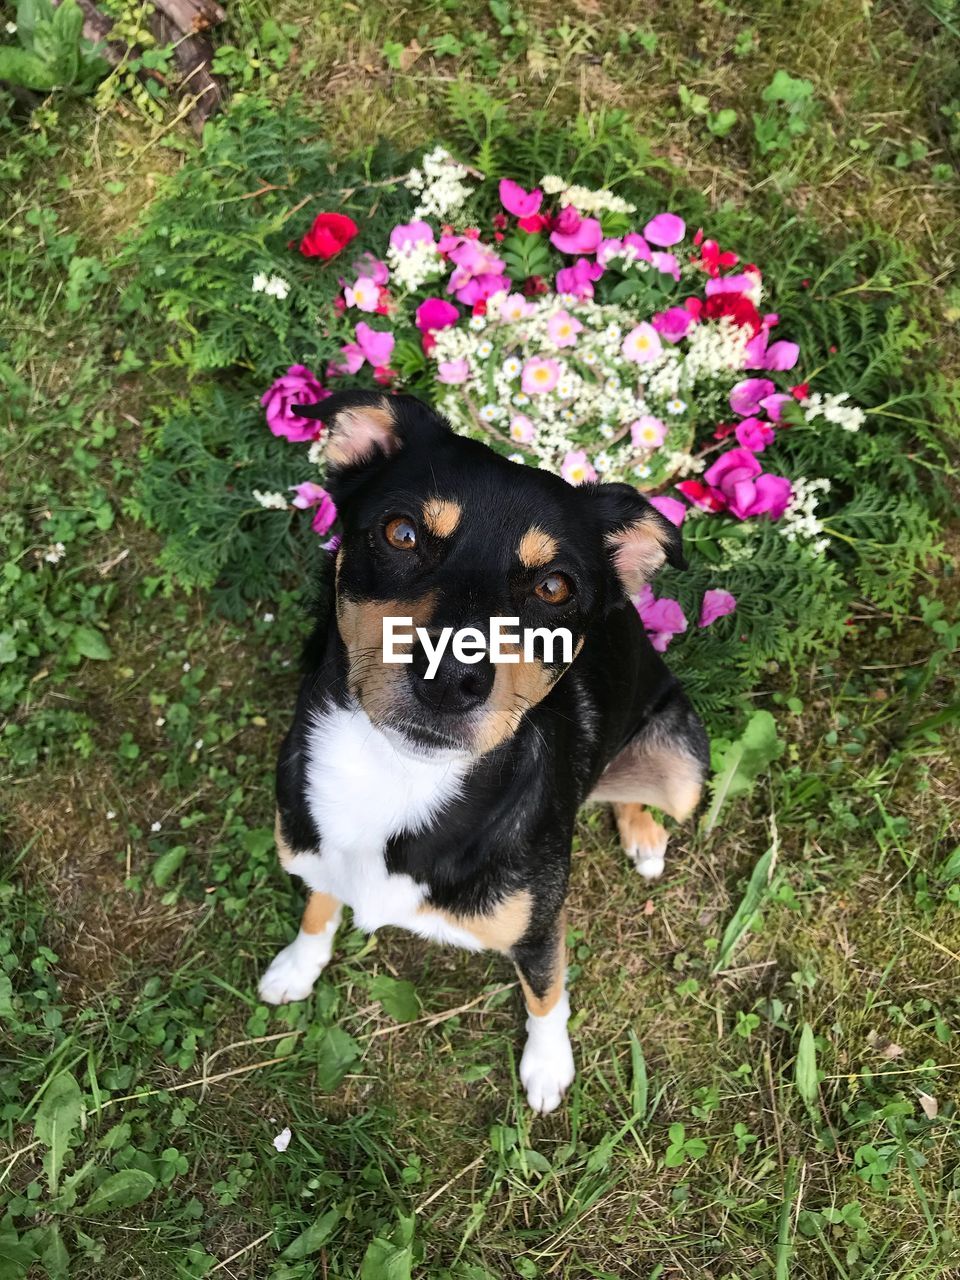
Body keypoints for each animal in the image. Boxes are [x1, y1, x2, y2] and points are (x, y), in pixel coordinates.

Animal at [259, 386, 711, 1111]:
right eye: (402, 533)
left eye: (555, 587)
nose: (451, 676)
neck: (397, 776)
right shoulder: (312, 849)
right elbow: (320, 906)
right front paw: (298, 966)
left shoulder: (539, 928)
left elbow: (547, 992)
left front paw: (547, 1067)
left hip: (683, 767)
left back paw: (644, 837)